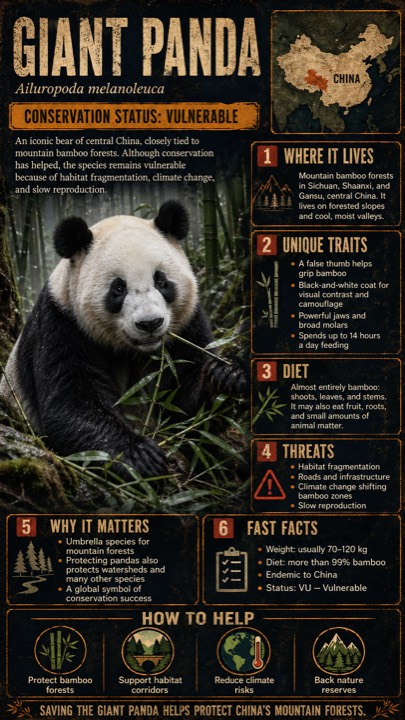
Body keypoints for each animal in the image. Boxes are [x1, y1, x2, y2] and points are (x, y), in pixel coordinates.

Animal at [0, 200, 245, 479]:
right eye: (118, 289)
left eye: (161, 281)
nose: (150, 323)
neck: (135, 350)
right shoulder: (62, 324)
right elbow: (69, 402)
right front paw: (140, 456)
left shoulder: (186, 325)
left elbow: (183, 404)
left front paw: (226, 377)